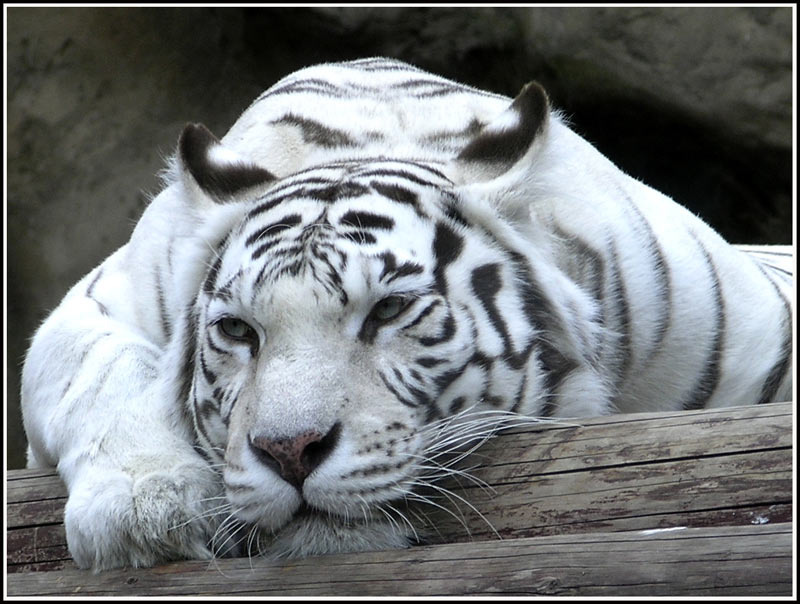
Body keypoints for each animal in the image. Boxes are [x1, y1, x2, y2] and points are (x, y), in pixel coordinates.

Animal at [20, 57, 793, 571]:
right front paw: (141, 512)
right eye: (238, 331)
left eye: (388, 310)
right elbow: (99, 368)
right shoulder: (104, 294)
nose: (289, 452)